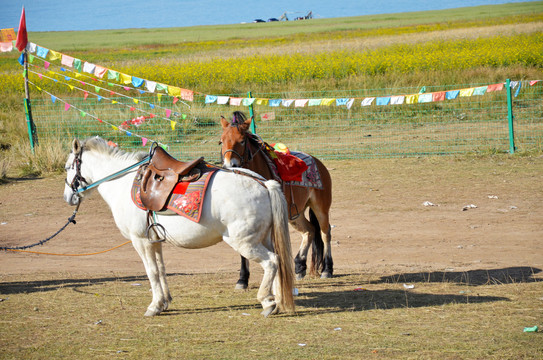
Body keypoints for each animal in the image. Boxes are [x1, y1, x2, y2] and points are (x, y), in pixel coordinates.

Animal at [63, 136, 296, 316]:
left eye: (67, 167)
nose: (67, 197)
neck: (122, 181)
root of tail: (264, 183)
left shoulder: (141, 241)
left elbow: (151, 272)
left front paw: (154, 306)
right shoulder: (154, 240)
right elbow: (161, 269)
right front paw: (164, 302)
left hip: (244, 243)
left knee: (271, 262)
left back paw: (267, 302)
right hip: (263, 238)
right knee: (279, 264)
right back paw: (277, 300)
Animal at [222, 111, 336, 288]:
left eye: (241, 141)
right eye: (221, 141)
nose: (230, 165)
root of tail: (318, 162)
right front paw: (242, 279)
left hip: (321, 208)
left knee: (325, 233)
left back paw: (327, 270)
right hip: (295, 214)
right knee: (309, 230)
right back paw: (299, 266)